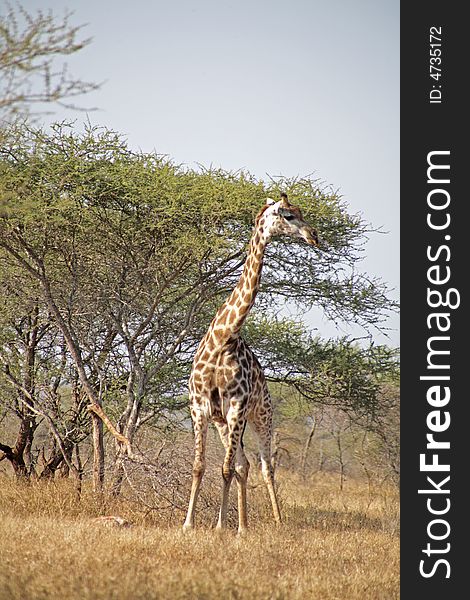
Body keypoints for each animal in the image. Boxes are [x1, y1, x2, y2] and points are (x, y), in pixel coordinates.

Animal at [182, 193, 318, 536]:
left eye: (300, 212)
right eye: (288, 214)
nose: (314, 235)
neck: (224, 338)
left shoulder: (236, 406)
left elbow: (226, 469)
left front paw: (219, 526)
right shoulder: (200, 407)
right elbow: (200, 466)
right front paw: (189, 524)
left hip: (260, 417)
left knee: (265, 466)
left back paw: (272, 522)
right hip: (225, 423)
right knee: (244, 465)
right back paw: (242, 526)